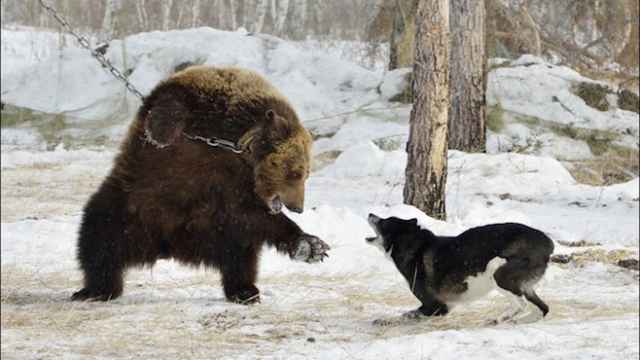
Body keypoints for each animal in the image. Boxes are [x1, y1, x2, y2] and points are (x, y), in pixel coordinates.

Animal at [71, 65, 330, 304]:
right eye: (296, 172)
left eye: (306, 173)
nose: (298, 207)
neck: (236, 146)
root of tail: (169, 247)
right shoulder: (195, 105)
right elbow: (170, 108)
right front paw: (160, 133)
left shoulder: (232, 188)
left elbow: (254, 215)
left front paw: (311, 246)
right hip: (131, 203)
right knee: (100, 235)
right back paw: (94, 290)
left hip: (218, 231)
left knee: (241, 256)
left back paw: (245, 290)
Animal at [368, 214, 552, 324]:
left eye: (384, 222)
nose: (371, 214)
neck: (414, 245)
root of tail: (548, 243)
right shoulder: (445, 306)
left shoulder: (436, 306)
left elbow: (405, 315)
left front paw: (385, 321)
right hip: (525, 286)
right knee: (543, 308)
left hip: (497, 273)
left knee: (522, 304)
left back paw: (501, 318)